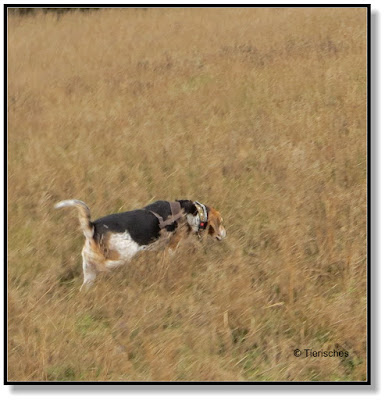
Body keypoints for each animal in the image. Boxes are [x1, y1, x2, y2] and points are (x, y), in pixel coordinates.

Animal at [54, 199, 225, 288]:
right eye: (221, 222)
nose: (224, 233)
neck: (195, 212)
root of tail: (93, 228)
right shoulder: (172, 246)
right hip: (124, 255)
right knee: (107, 266)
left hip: (88, 269)